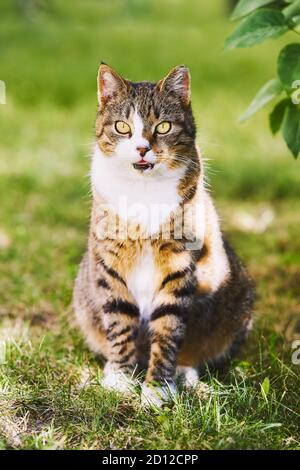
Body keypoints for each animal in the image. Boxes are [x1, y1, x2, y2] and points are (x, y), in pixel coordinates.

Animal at [72, 63, 253, 408]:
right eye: (122, 127)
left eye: (164, 126)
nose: (143, 148)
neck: (143, 192)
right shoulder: (111, 263)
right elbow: (120, 321)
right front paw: (120, 379)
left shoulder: (179, 265)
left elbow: (168, 329)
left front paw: (157, 388)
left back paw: (186, 376)